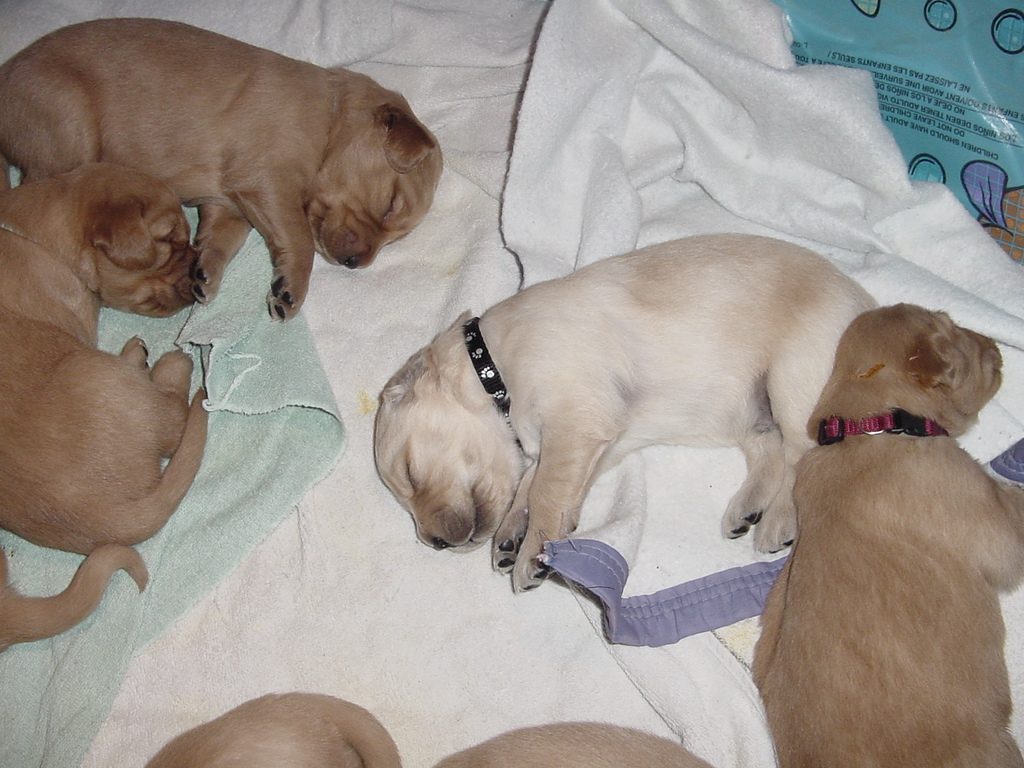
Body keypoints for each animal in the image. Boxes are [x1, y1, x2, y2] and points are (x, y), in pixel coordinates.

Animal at [0, 163, 207, 561]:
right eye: (168, 239)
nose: (200, 272)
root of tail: (106, 520)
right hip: (100, 376)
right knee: (174, 420)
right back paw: (171, 364)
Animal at [372, 231, 876, 593]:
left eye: (411, 474)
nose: (434, 543)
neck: (490, 367)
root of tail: (872, 308)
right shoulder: (592, 440)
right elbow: (537, 485)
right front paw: (513, 532)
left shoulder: (575, 417)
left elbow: (547, 491)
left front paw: (534, 551)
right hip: (754, 412)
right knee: (773, 454)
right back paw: (747, 509)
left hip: (796, 380)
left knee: (805, 459)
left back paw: (778, 521)